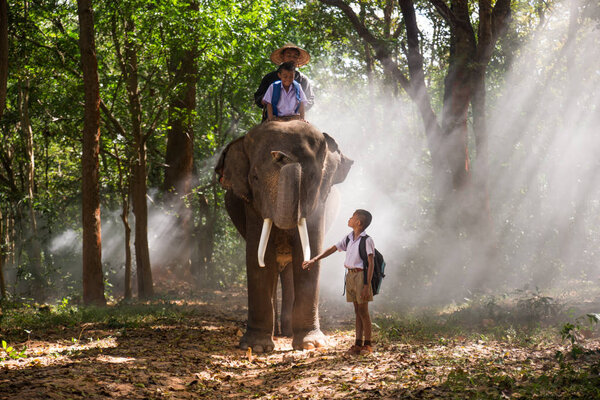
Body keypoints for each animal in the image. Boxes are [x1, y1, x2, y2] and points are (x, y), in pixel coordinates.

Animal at [214, 120, 352, 352]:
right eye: (254, 178)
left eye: (312, 177)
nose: (279, 155)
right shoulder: (252, 205)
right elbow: (258, 258)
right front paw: (256, 348)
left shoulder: (319, 204)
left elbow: (310, 255)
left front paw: (310, 345)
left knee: (289, 272)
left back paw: (286, 332)